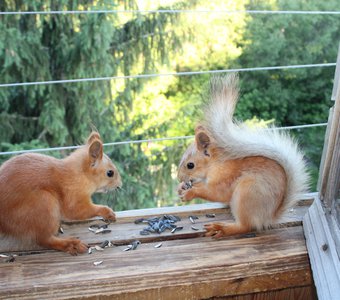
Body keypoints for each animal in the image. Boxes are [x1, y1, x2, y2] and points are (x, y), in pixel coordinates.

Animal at [177, 73, 310, 237]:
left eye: (190, 165)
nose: (179, 178)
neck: (216, 163)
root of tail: (268, 218)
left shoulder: (225, 178)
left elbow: (216, 193)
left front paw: (190, 193)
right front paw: (181, 188)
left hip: (247, 193)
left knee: (245, 226)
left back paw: (221, 228)